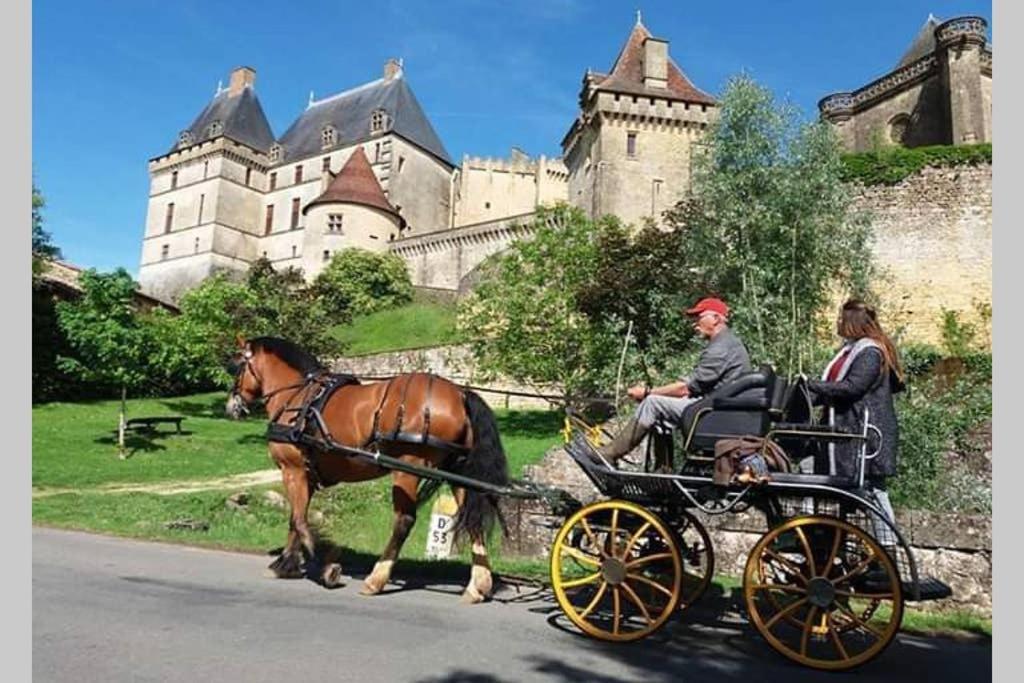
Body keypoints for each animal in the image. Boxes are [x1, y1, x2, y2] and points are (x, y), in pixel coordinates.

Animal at [226, 335, 509, 602]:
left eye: (234, 366)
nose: (231, 406)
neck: (298, 398)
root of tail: (460, 394)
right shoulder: (306, 474)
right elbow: (296, 519)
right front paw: (287, 563)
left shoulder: (292, 470)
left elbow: (298, 520)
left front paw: (322, 567)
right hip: (457, 472)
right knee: (472, 519)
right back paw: (478, 585)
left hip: (408, 468)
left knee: (404, 521)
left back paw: (377, 578)